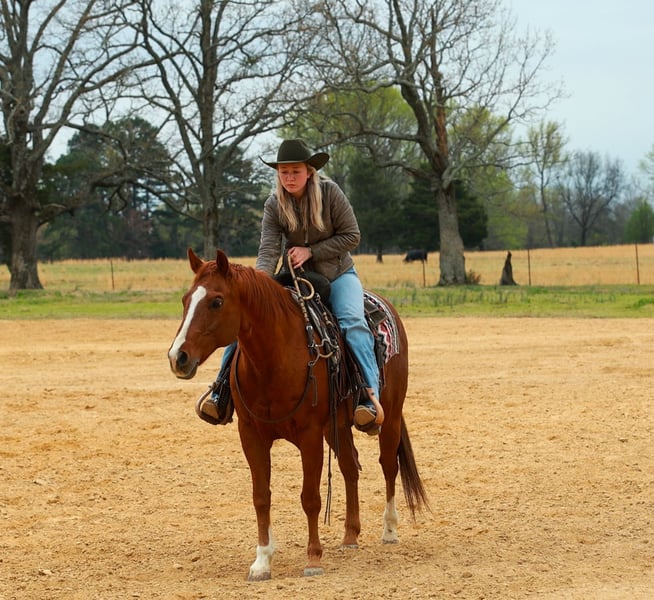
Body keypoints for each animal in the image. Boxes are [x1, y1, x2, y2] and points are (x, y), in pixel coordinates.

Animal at [168, 248, 428, 581]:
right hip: (337, 426)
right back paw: (350, 535)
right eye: (185, 299)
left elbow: (310, 498)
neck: (273, 361)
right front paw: (262, 561)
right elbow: (261, 496)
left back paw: (390, 529)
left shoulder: (309, 435)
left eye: (216, 301)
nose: (178, 357)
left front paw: (313, 558)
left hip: (391, 415)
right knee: (349, 467)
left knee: (388, 465)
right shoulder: (251, 436)